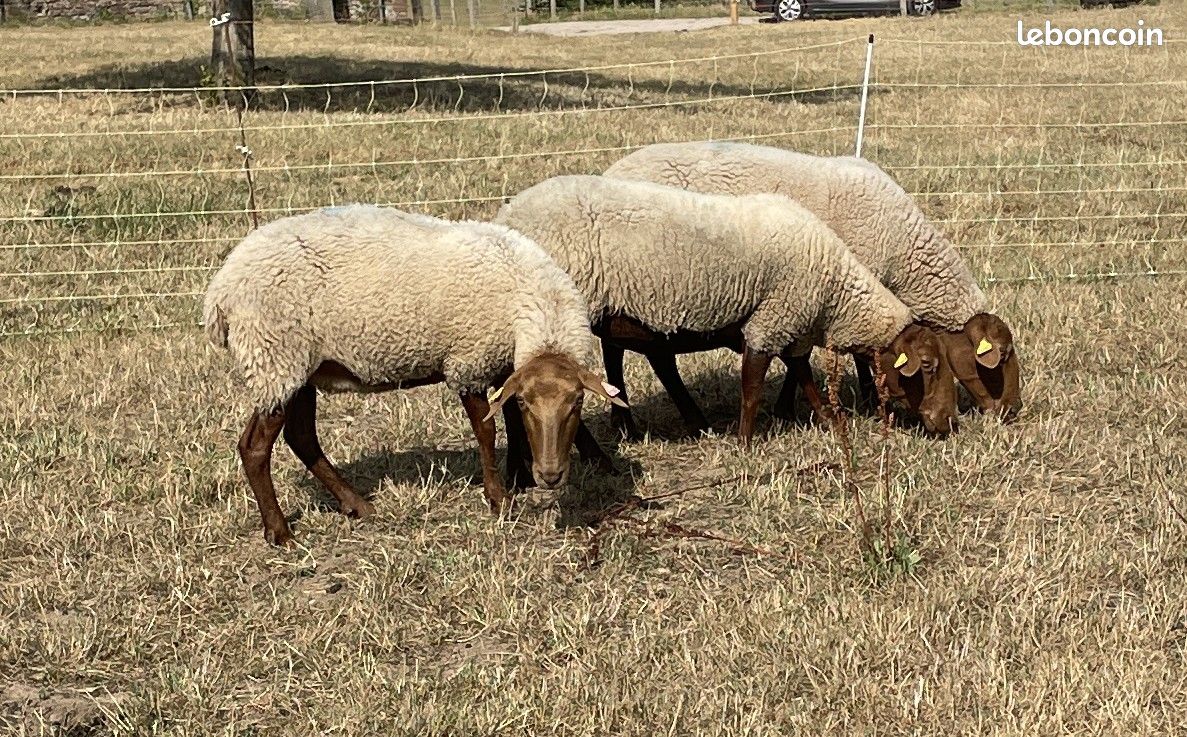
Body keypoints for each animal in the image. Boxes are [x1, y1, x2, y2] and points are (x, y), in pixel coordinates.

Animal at [204, 204, 626, 545]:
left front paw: (518, 478)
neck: (529, 299)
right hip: (274, 358)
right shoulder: (469, 360)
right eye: (529, 402)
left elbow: (510, 423)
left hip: (299, 369)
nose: (550, 476)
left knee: (302, 437)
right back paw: (280, 532)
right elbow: (487, 430)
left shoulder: (504, 365)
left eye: (578, 401)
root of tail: (220, 291)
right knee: (255, 447)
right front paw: (499, 498)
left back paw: (356, 505)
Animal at [494, 175, 957, 443]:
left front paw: (830, 421)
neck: (833, 292)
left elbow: (803, 375)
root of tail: (507, 213)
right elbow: (752, 387)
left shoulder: (789, 324)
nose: (948, 424)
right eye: (929, 366)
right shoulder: (770, 322)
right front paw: (746, 443)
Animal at [605, 141, 1022, 422]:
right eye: (1001, 356)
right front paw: (858, 399)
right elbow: (842, 352)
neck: (904, 250)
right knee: (623, 351)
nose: (1013, 410)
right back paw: (629, 421)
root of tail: (610, 171)